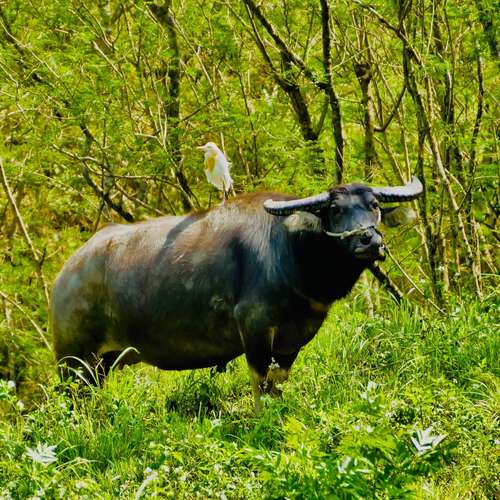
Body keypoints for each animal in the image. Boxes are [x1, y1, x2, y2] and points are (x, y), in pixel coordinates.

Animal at [51, 176, 423, 412]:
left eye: (374, 205)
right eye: (335, 209)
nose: (370, 241)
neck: (288, 250)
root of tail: (65, 275)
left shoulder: (292, 339)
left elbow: (278, 382)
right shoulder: (254, 329)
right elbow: (260, 382)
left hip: (101, 364)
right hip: (73, 362)